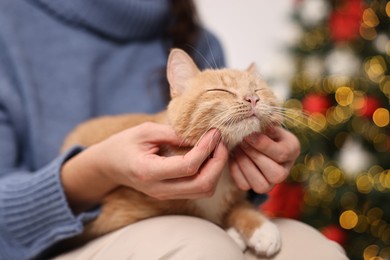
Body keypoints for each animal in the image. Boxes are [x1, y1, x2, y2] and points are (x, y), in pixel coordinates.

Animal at [63, 48, 284, 256]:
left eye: (258, 89)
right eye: (221, 90)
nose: (252, 98)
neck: (220, 173)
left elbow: (241, 207)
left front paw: (262, 228)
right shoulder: (115, 216)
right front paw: (231, 234)